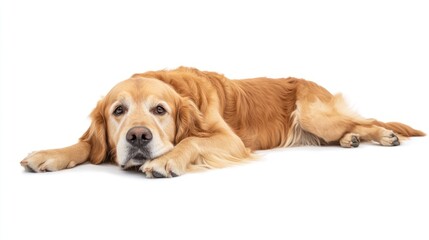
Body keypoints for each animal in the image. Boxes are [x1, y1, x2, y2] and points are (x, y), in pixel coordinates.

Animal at [19, 66, 422, 177]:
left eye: (160, 110)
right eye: (118, 111)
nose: (137, 137)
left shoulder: (231, 140)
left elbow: (191, 139)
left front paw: (166, 159)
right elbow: (86, 143)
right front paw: (48, 154)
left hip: (315, 115)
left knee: (367, 121)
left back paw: (383, 135)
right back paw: (351, 140)